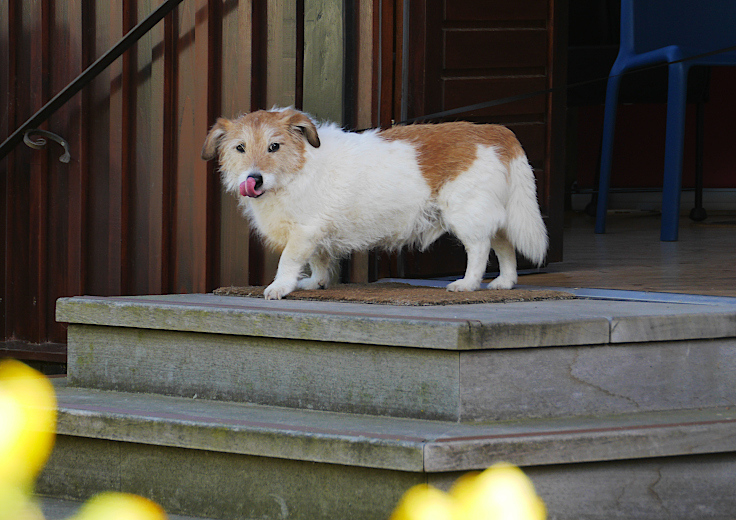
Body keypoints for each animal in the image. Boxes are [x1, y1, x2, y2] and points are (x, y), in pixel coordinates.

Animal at [201, 106, 548, 300]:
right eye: (240, 148)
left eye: (274, 146)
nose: (254, 179)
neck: (296, 170)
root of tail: (496, 132)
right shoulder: (316, 234)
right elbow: (319, 259)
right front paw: (316, 282)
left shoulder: (304, 231)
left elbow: (289, 260)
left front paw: (280, 287)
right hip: (491, 213)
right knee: (504, 244)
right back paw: (504, 282)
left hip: (467, 213)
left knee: (479, 249)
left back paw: (468, 283)